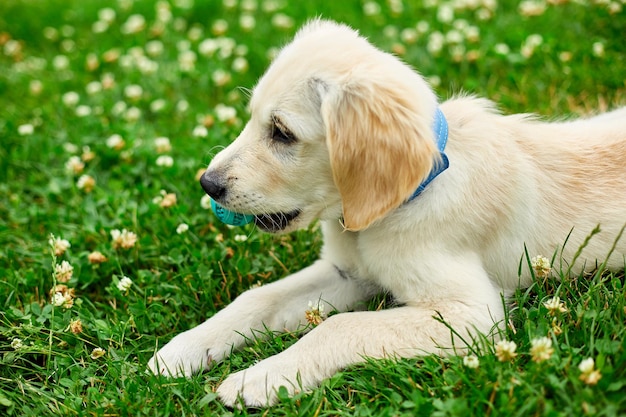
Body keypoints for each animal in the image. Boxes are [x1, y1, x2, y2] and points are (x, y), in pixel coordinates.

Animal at [147, 20, 624, 406]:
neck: (397, 205)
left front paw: (259, 378)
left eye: (282, 132)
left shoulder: (472, 314)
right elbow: (258, 296)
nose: (208, 184)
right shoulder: (346, 272)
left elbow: (340, 326)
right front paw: (183, 349)